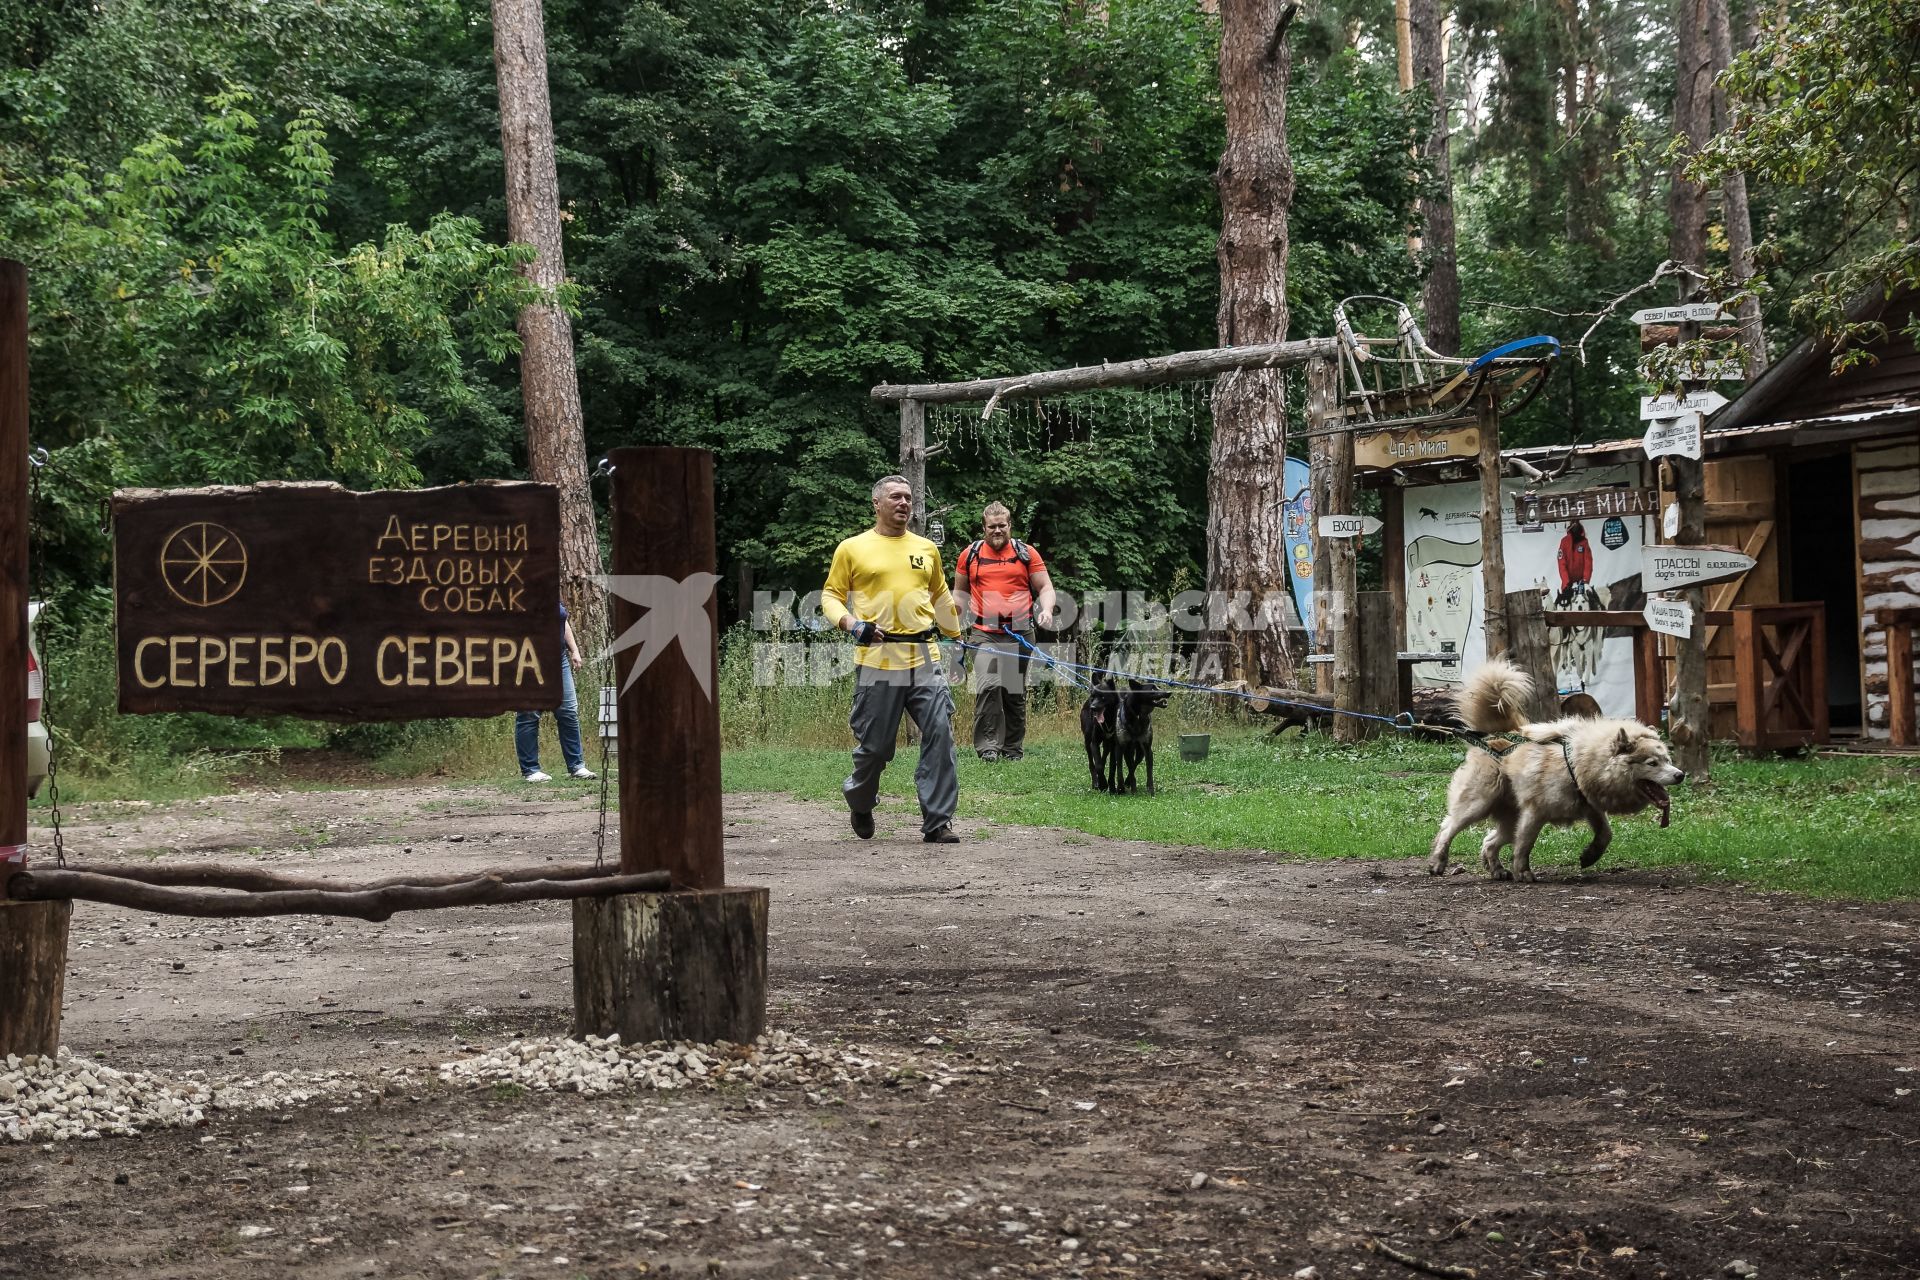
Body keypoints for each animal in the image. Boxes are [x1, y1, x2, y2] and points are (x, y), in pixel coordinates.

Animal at [1428, 660, 1681, 882]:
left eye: (1667, 759)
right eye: (1652, 763)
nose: (1680, 775)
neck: (1577, 764)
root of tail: (1496, 736)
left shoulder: (1590, 807)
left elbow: (1606, 834)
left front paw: (1590, 855)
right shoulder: (1534, 813)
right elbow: (1524, 845)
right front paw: (1524, 872)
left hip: (1510, 817)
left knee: (1489, 841)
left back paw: (1497, 869)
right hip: (1478, 803)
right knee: (1448, 827)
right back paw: (1438, 861)